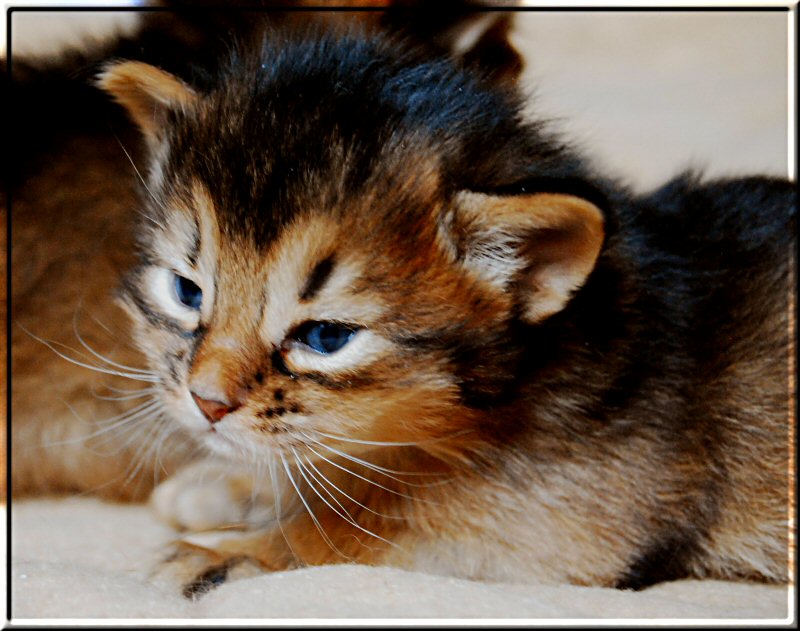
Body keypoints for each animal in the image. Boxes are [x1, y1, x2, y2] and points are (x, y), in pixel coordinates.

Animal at [10, 9, 792, 596]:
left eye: (325, 337)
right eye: (186, 290)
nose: (205, 403)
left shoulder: (571, 519)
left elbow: (363, 527)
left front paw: (226, 552)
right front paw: (231, 483)